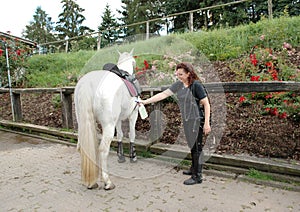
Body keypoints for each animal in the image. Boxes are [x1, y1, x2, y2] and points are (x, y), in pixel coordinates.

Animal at [75, 50, 140, 190]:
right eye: (134, 61)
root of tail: (88, 82)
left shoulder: (118, 119)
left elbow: (120, 135)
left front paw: (121, 156)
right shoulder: (133, 114)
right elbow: (132, 134)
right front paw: (133, 156)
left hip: (82, 122)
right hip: (108, 125)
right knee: (103, 150)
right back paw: (107, 181)